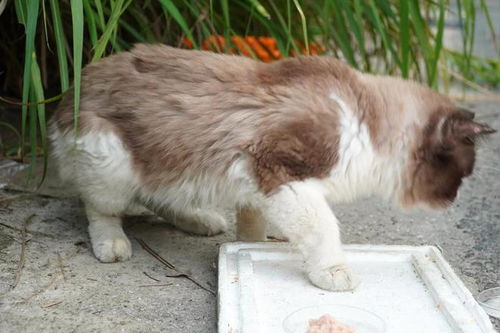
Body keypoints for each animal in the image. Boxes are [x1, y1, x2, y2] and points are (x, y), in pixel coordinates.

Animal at [48, 43, 494, 290]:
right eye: (461, 176)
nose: (453, 199)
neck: (364, 123)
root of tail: (70, 91)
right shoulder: (279, 173)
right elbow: (323, 230)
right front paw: (333, 272)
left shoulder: (254, 185)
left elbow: (252, 230)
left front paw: (245, 249)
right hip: (112, 159)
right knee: (102, 208)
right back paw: (112, 244)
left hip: (169, 170)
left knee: (158, 198)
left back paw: (200, 221)